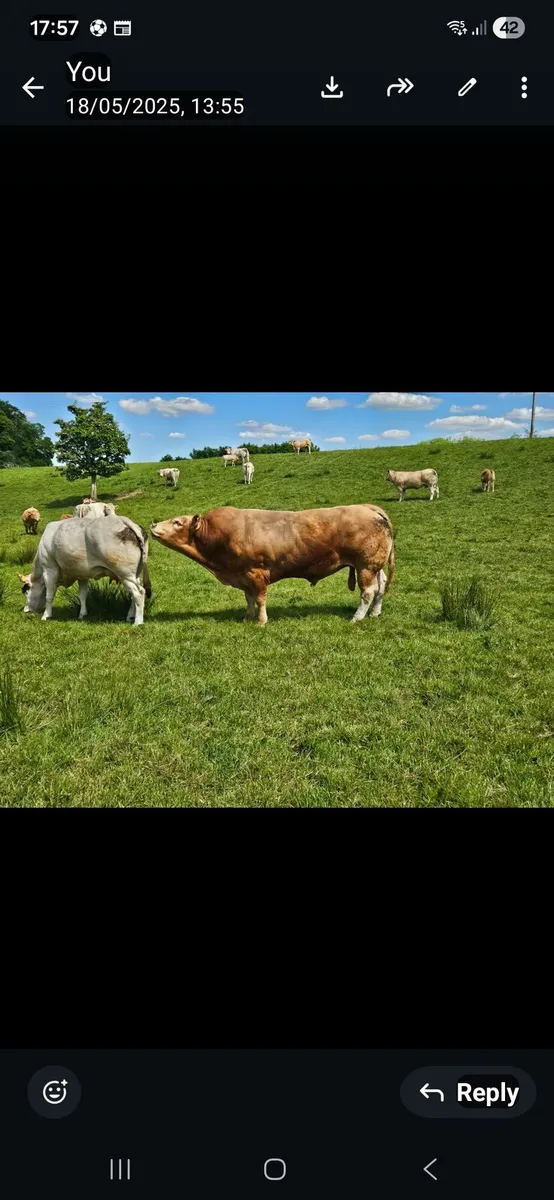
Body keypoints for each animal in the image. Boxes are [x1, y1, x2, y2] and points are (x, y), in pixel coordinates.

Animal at [17, 515, 151, 625]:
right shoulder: (83, 574)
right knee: (133, 594)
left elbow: (49, 595)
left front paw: (46, 615)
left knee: (139, 593)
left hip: (124, 573)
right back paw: (130, 616)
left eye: (26, 590)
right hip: (134, 574)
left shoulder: (50, 570)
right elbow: (82, 595)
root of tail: (122, 520)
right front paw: (82, 614)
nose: (26, 610)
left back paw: (138, 622)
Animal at [150, 504, 395, 626]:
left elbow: (260, 599)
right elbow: (249, 599)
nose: (152, 526)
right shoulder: (243, 576)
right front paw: (246, 618)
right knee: (381, 587)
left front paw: (261, 621)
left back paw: (357, 617)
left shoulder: (256, 573)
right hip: (374, 565)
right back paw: (375, 613)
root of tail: (368, 507)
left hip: (365, 565)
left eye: (177, 522)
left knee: (368, 591)